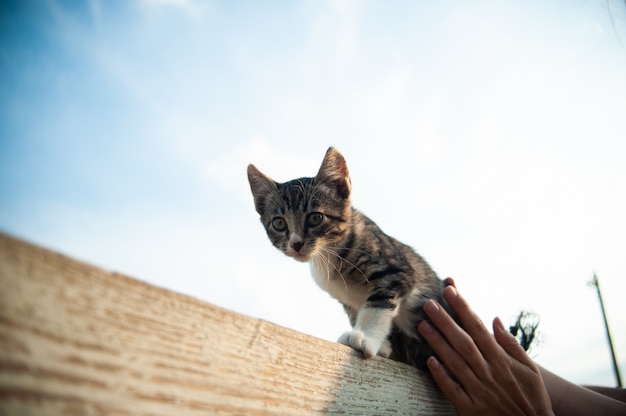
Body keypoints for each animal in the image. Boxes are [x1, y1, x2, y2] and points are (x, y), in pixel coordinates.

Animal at [245, 148, 454, 368]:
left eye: (315, 218)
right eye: (278, 223)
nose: (295, 243)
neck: (330, 255)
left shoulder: (396, 272)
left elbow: (378, 303)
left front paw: (366, 337)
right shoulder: (348, 301)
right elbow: (357, 314)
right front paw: (382, 345)